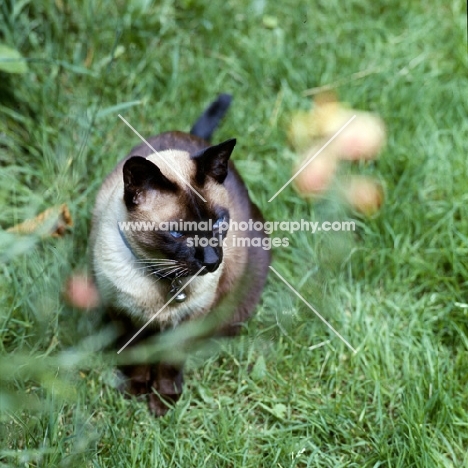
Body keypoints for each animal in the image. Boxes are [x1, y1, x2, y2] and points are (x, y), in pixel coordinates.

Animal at [91, 95, 270, 416]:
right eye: (177, 233)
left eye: (218, 223)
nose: (212, 261)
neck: (166, 279)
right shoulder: (123, 315)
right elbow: (135, 357)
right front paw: (136, 391)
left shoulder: (189, 320)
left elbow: (169, 363)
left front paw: (162, 401)